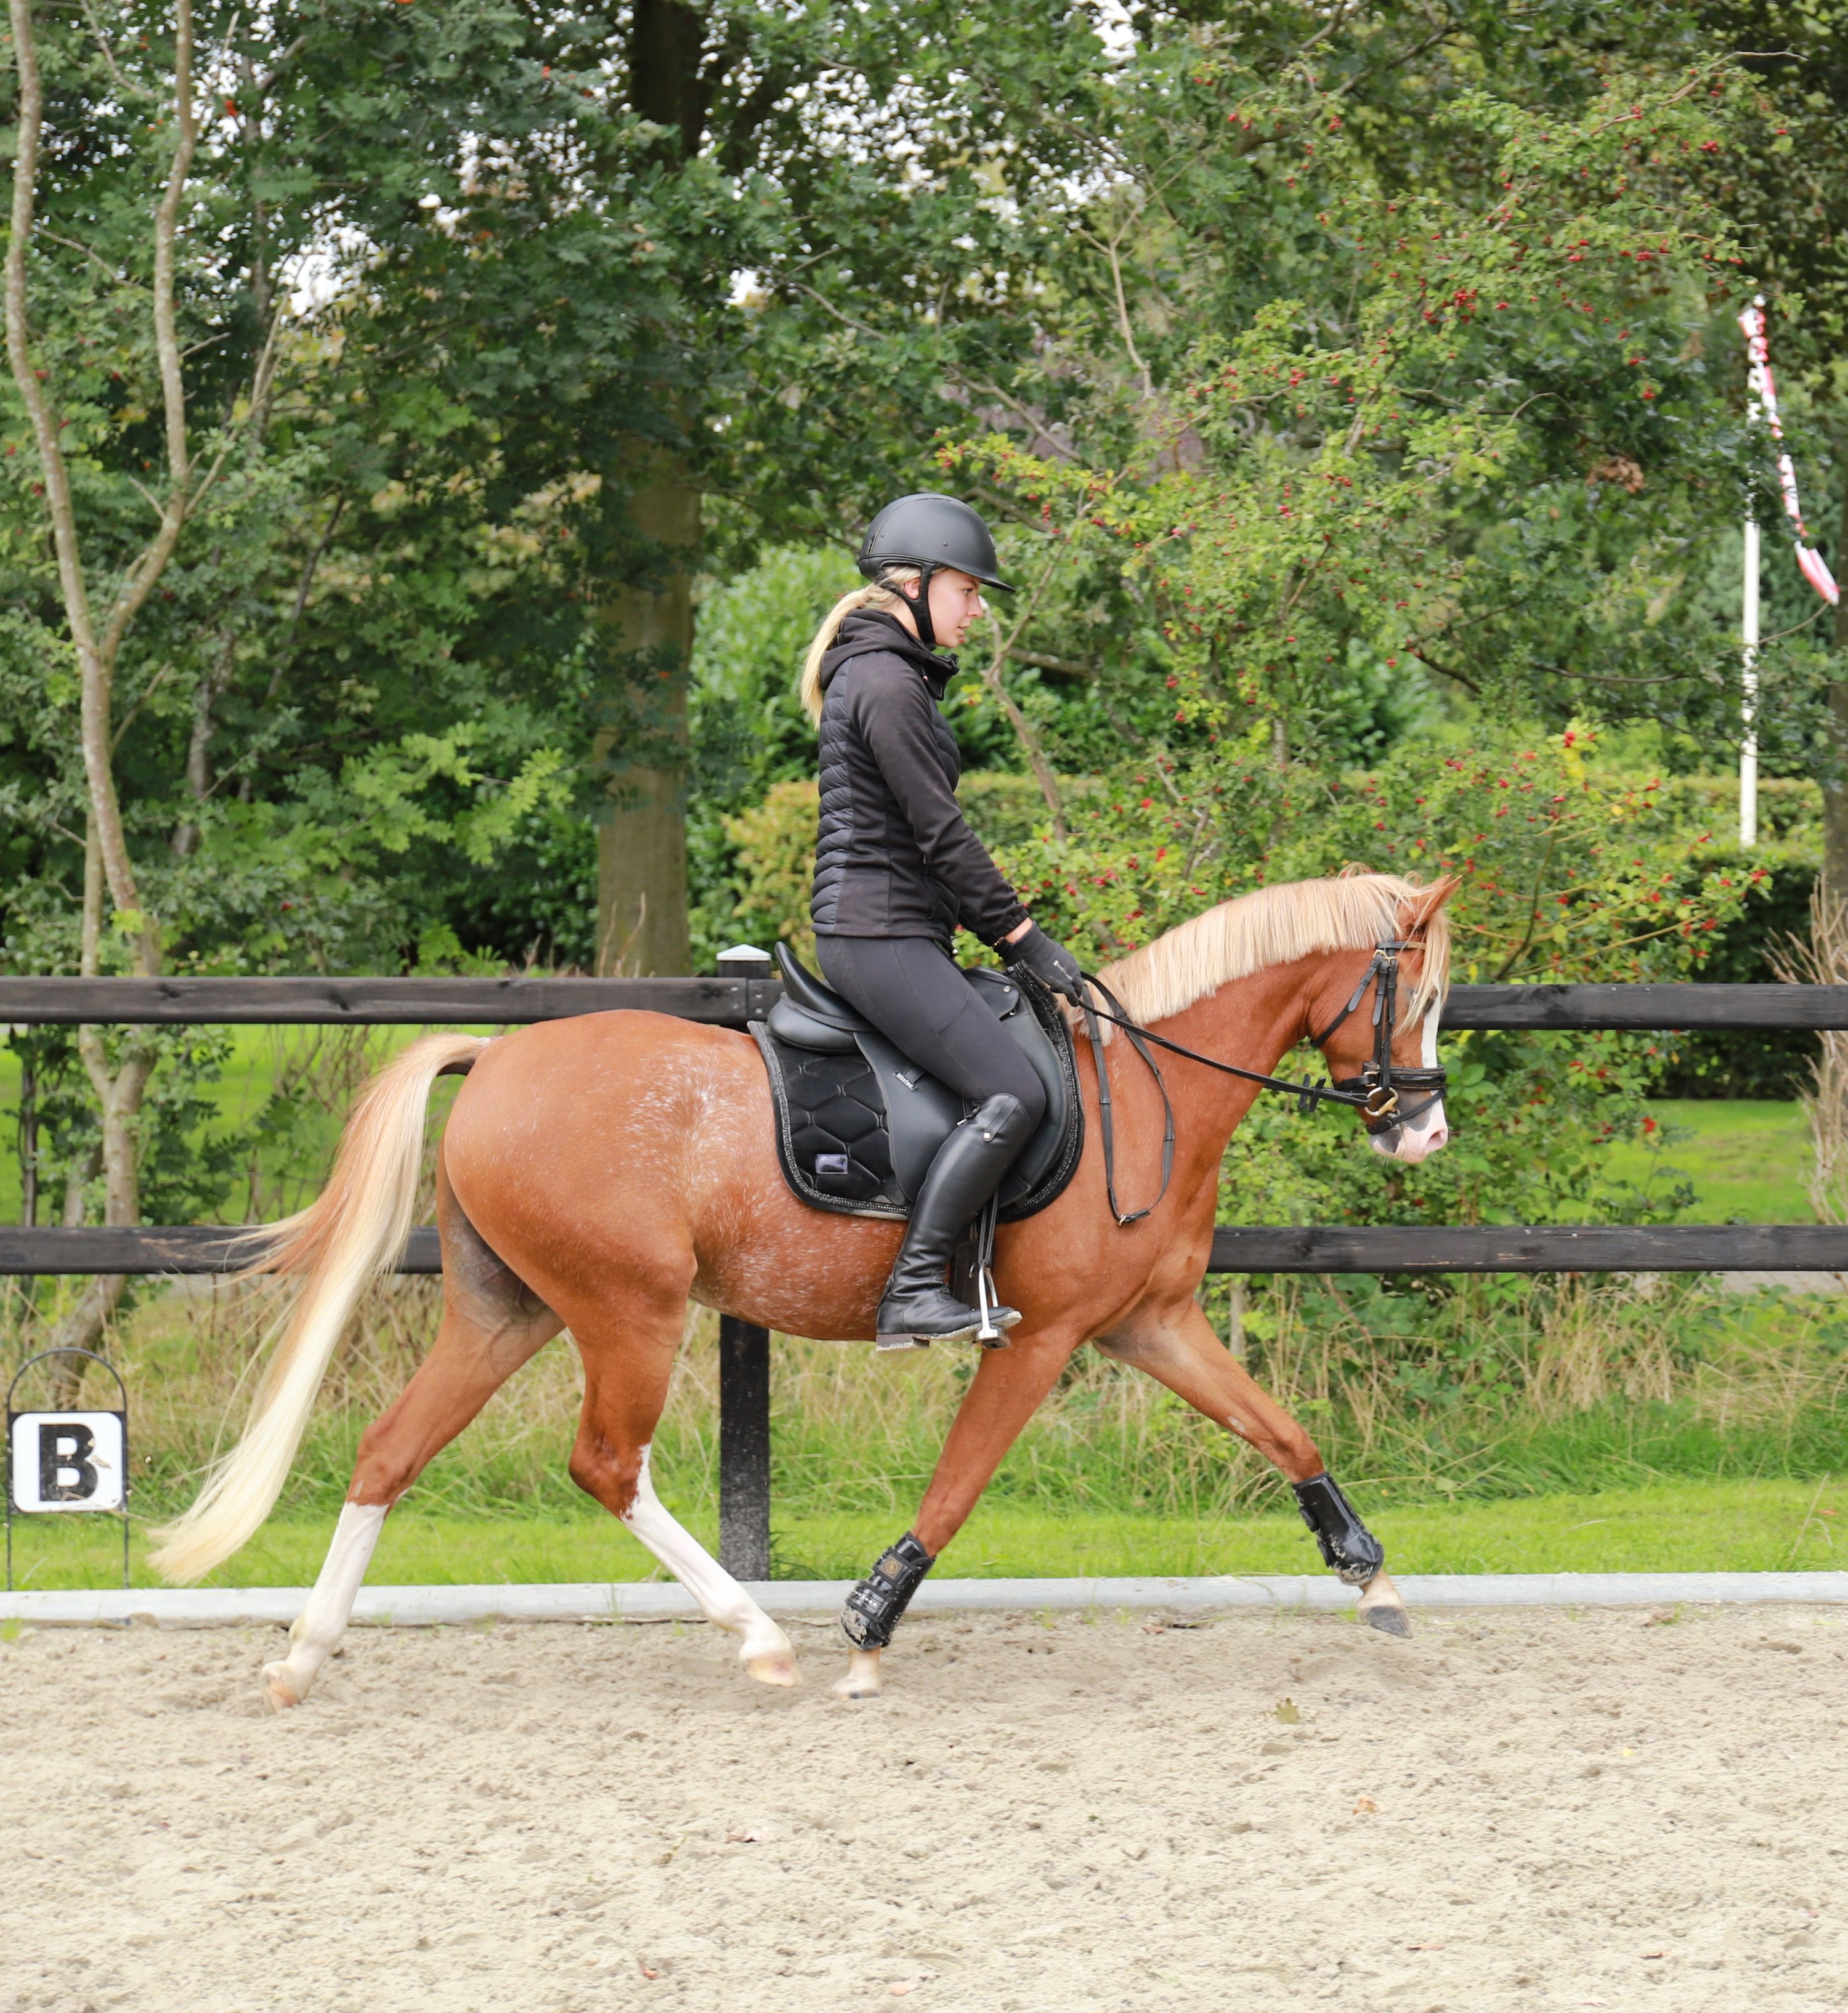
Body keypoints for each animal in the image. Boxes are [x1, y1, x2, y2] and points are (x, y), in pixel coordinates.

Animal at [150, 869, 1456, 1706]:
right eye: (1424, 993)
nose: (1425, 1132)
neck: (1141, 1086)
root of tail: (498, 1056)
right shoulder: (1037, 1337)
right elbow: (955, 1488)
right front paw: (869, 1630)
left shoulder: (1151, 1323)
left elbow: (1280, 1429)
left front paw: (1376, 1579)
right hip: (630, 1309)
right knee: (607, 1465)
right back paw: (759, 1637)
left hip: (506, 1309)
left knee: (390, 1448)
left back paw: (302, 1657)